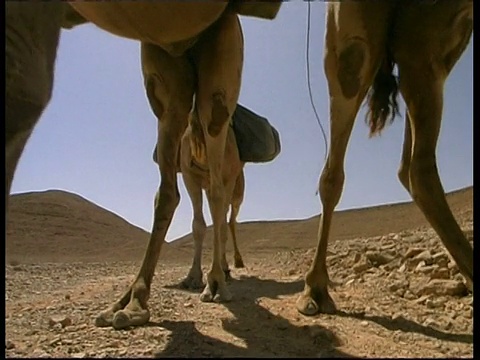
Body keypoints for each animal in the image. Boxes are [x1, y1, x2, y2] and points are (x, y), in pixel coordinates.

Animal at [150, 103, 246, 290]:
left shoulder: (228, 178)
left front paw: (220, 273)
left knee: (230, 219)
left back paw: (234, 263)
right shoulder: (189, 176)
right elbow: (198, 225)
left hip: (238, 190)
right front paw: (193, 277)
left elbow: (220, 226)